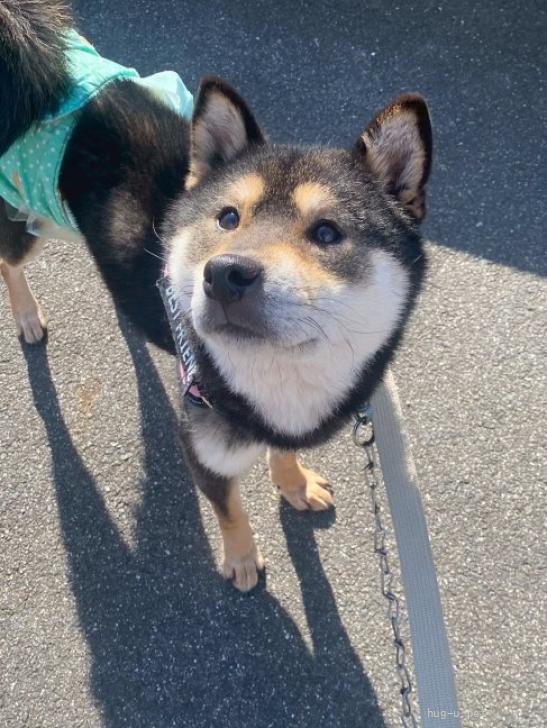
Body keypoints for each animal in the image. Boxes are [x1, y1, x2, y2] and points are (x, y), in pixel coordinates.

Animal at [0, 0, 432, 591]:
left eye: (326, 232)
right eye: (228, 218)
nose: (224, 274)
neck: (281, 381)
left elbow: (282, 456)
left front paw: (293, 483)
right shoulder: (202, 446)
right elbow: (230, 509)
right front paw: (243, 559)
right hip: (28, 217)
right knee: (8, 261)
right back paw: (26, 315)